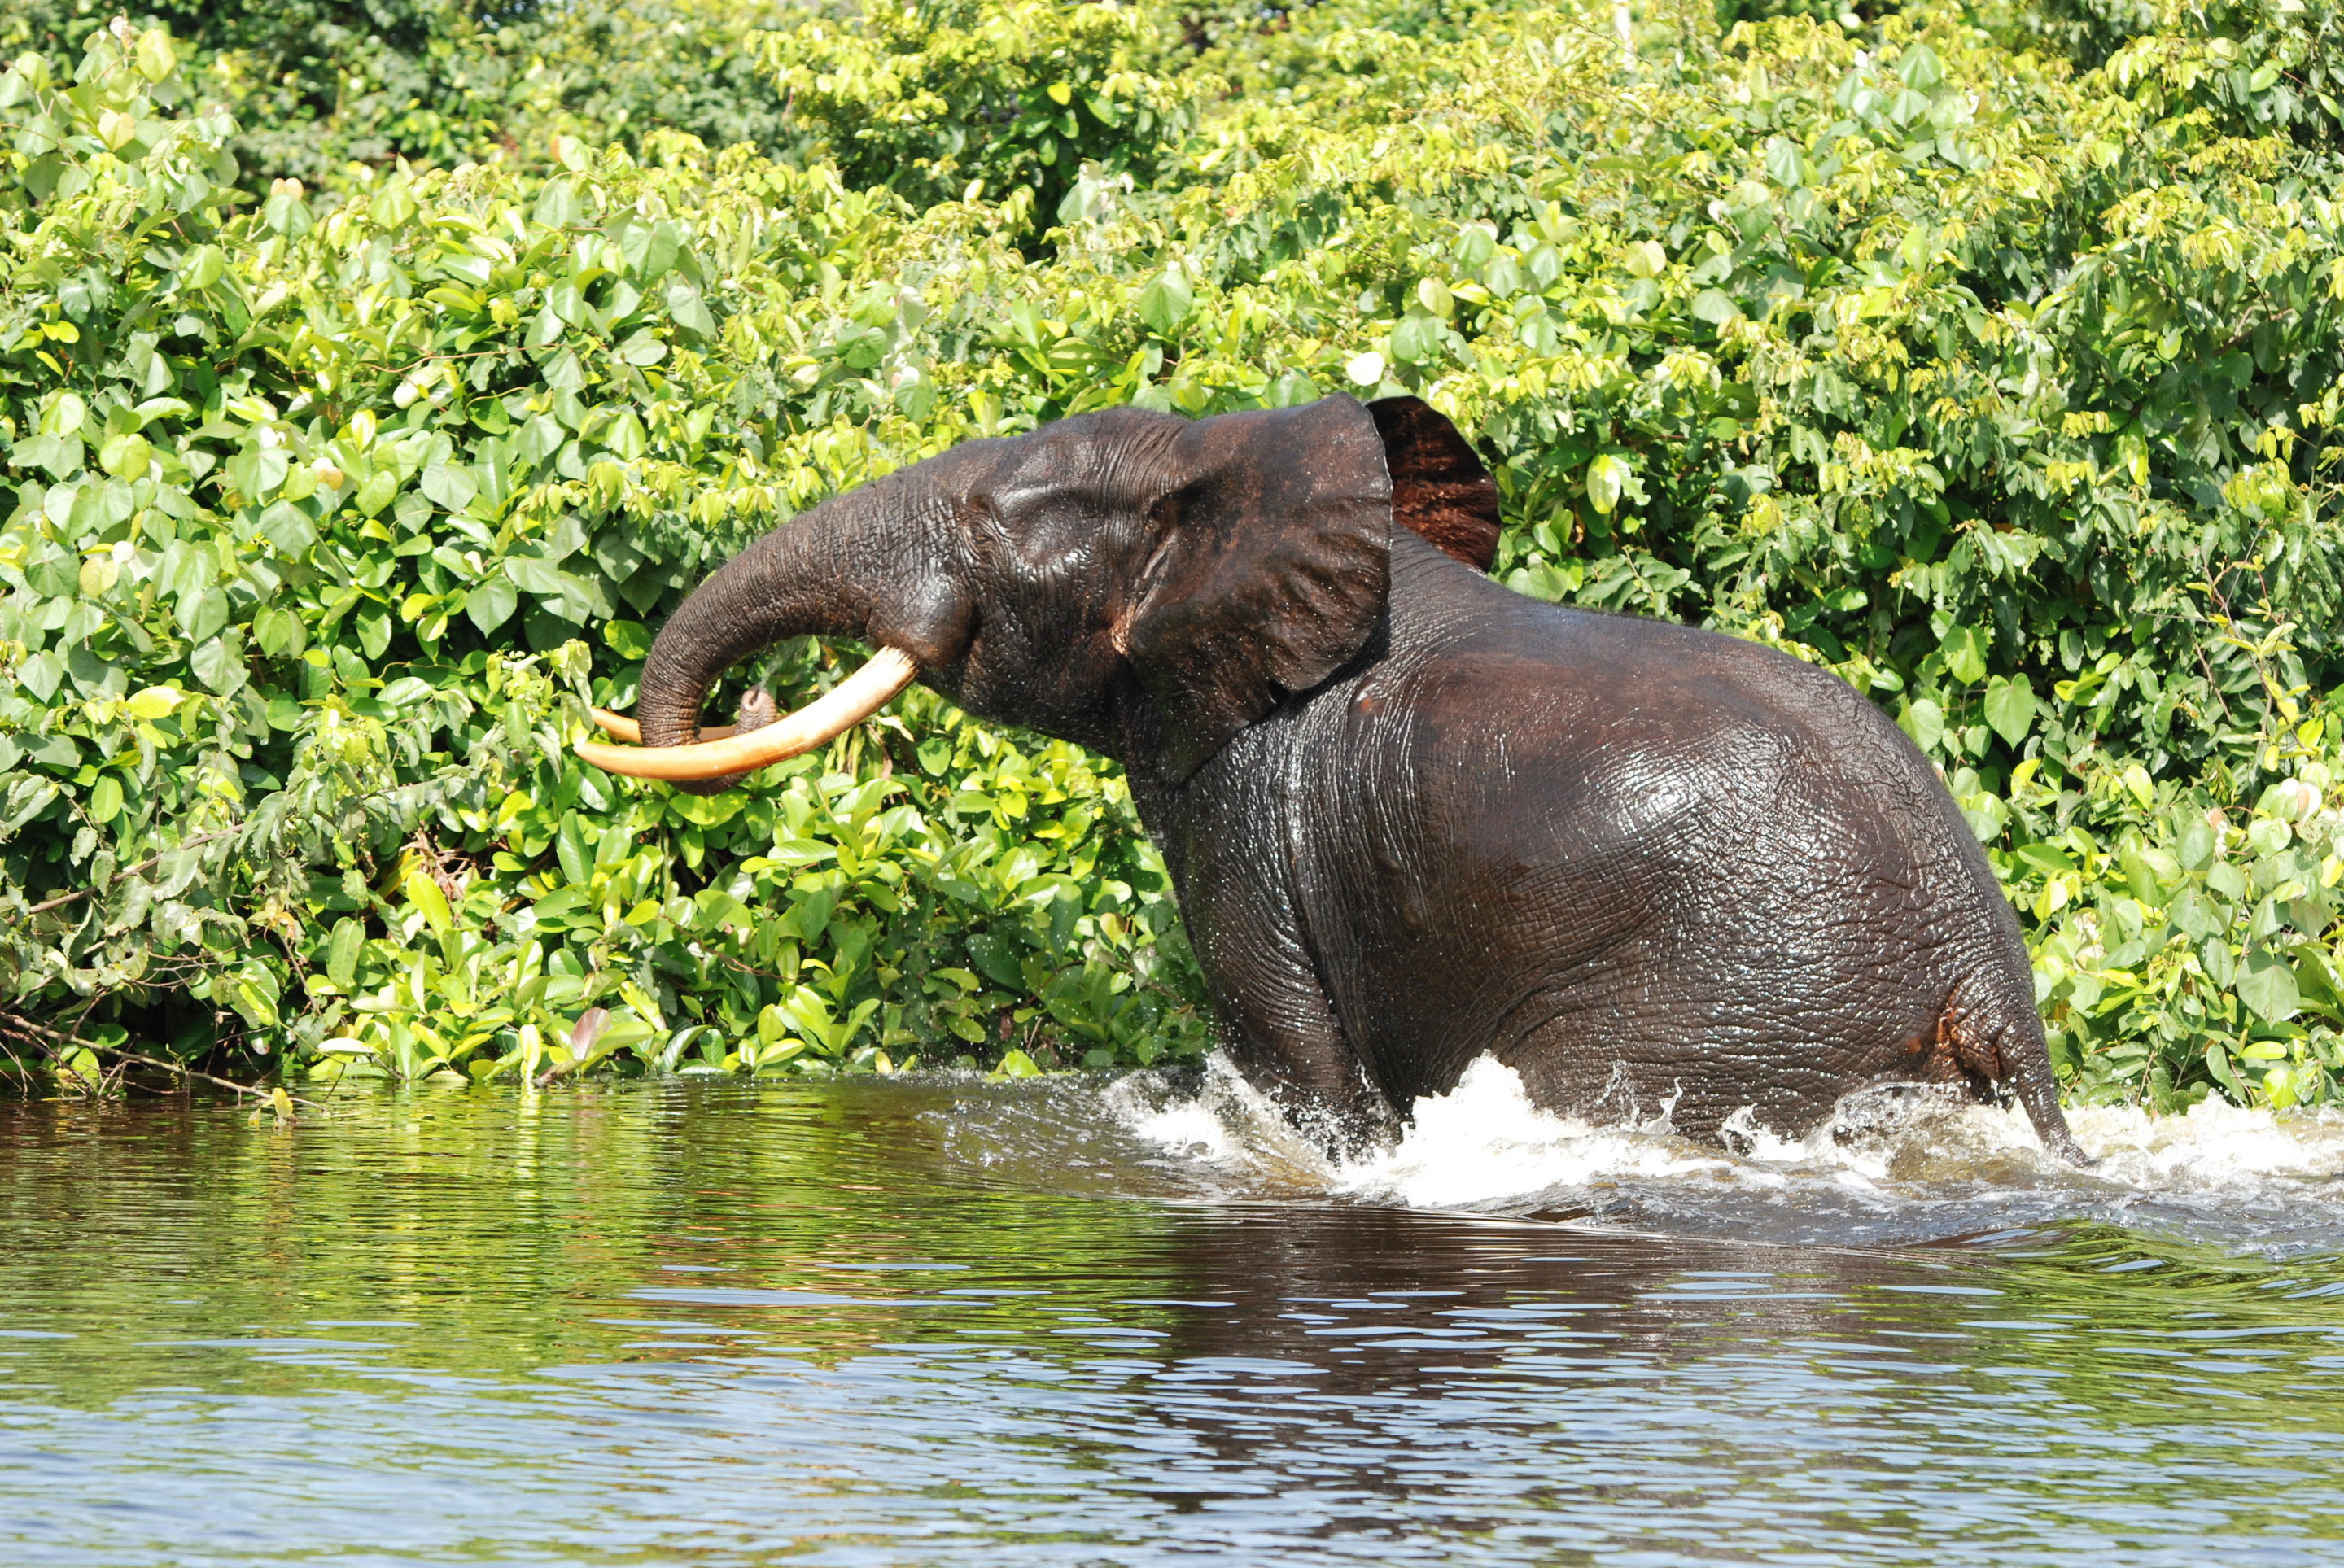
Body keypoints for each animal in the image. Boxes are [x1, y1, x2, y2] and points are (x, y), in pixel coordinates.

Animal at [586, 393, 2090, 1162]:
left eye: (997, 522)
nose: (747, 697)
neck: (1234, 463)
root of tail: (1981, 970)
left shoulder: (1254, 811)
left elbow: (1296, 1056)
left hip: (1731, 1000)